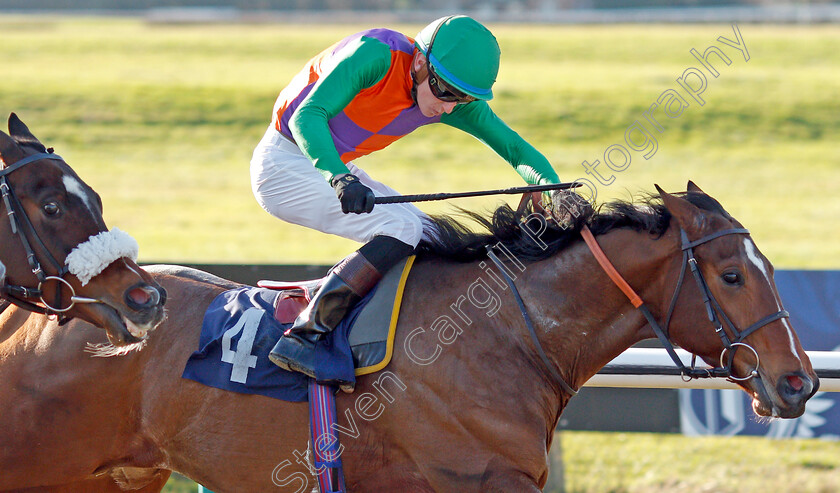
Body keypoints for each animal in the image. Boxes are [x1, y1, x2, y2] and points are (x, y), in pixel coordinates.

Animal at [0, 173, 812, 488]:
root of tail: (44, 304)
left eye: (768, 266)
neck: (501, 336)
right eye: (731, 275)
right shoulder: (480, 478)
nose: (798, 379)